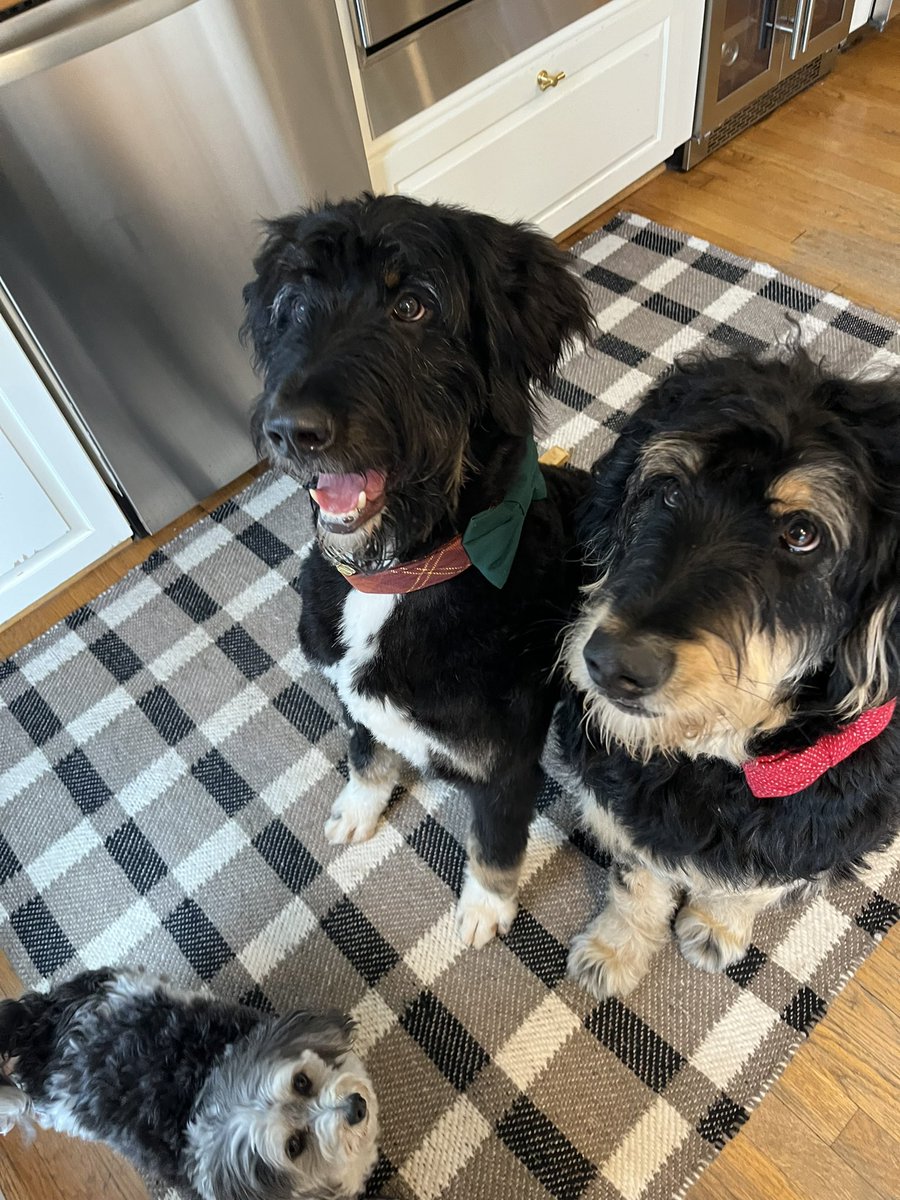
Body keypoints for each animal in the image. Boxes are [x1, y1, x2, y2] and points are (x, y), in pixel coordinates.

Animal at [243, 193, 593, 947]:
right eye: (293, 304)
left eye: (412, 306)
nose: (291, 430)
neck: (398, 577)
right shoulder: (353, 700)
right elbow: (367, 752)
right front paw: (359, 808)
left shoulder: (505, 762)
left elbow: (496, 840)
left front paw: (484, 909)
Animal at [558, 349, 900, 1000]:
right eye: (668, 491)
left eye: (801, 533)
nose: (613, 666)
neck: (717, 762)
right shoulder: (627, 798)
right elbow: (635, 876)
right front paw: (616, 949)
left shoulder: (825, 829)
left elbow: (758, 881)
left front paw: (717, 924)